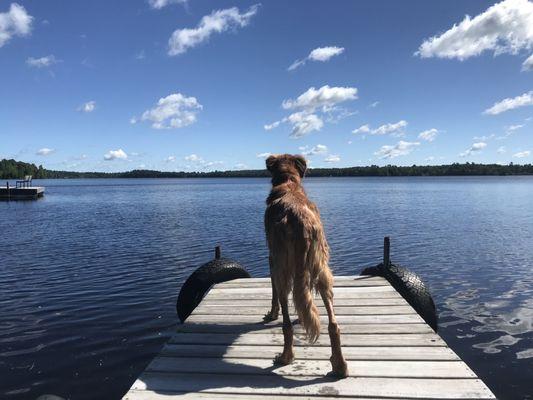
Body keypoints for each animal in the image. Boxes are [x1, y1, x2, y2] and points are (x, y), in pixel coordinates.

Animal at [262, 154, 348, 378]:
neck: (288, 182)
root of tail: (302, 224)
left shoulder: (272, 258)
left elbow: (273, 294)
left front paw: (271, 313)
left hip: (283, 270)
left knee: (286, 323)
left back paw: (285, 357)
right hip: (322, 270)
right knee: (333, 323)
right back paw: (340, 365)